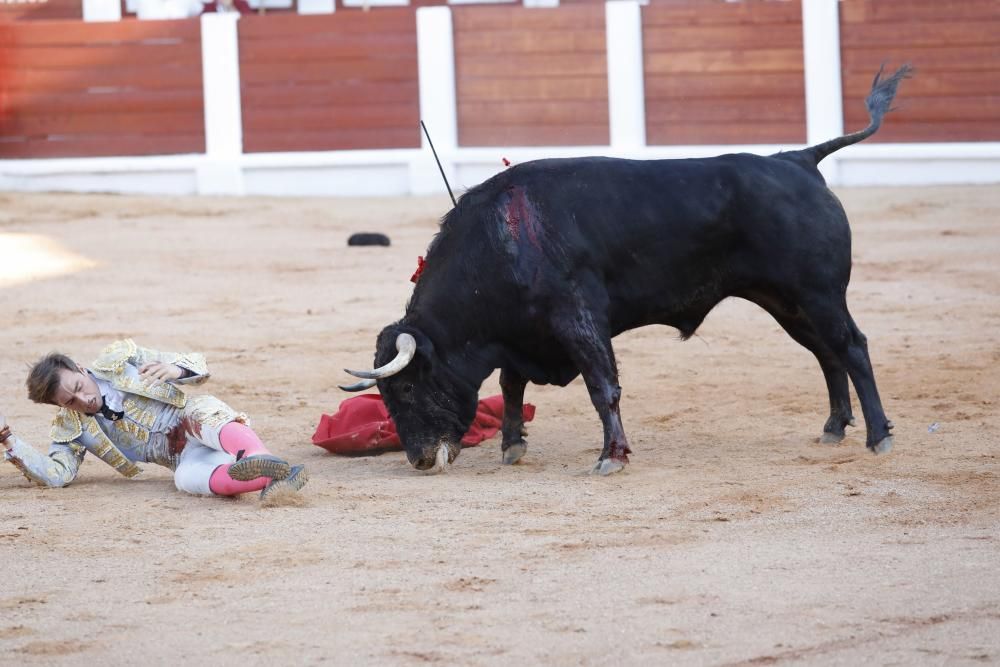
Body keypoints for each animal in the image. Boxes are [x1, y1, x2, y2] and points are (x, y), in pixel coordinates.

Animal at [346, 64, 916, 474]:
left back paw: (878, 437)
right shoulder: (523, 335)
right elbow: (511, 386)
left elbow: (602, 386)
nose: (420, 459)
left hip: (819, 293)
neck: (500, 243)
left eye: (408, 388)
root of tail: (797, 160)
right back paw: (834, 428)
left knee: (852, 346)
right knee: (825, 354)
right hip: (786, 301)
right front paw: (512, 447)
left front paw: (611, 457)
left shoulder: (577, 320)